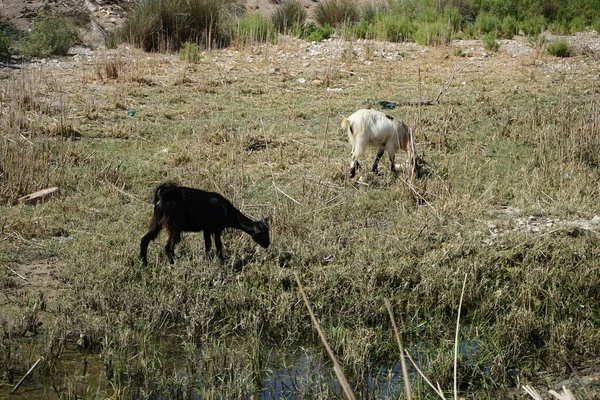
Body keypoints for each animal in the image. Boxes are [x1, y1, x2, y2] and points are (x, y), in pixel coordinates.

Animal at [139, 182, 270, 266]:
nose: (267, 244)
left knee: (145, 239)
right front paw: (221, 263)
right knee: (168, 246)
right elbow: (218, 245)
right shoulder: (216, 229)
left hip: (157, 220)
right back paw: (173, 265)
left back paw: (144, 264)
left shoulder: (207, 230)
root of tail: (161, 196)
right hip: (174, 224)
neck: (226, 211)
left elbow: (208, 246)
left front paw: (209, 262)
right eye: (262, 233)